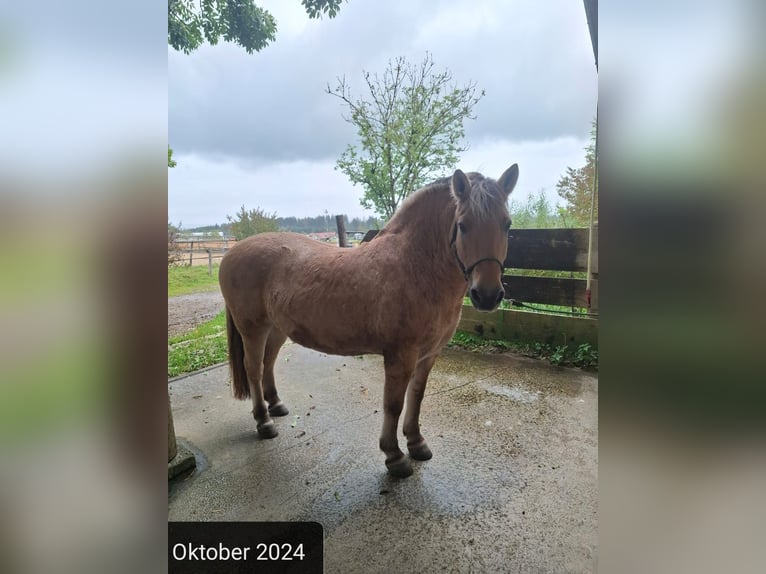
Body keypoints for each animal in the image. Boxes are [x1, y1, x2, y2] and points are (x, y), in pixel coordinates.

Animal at [222, 165, 520, 476]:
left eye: (507, 224)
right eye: (462, 225)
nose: (487, 295)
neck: (415, 265)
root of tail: (231, 252)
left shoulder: (429, 354)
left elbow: (417, 395)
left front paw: (416, 443)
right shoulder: (400, 355)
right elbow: (393, 404)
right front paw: (394, 456)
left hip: (277, 328)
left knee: (268, 363)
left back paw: (276, 405)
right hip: (252, 328)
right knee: (253, 368)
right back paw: (263, 421)